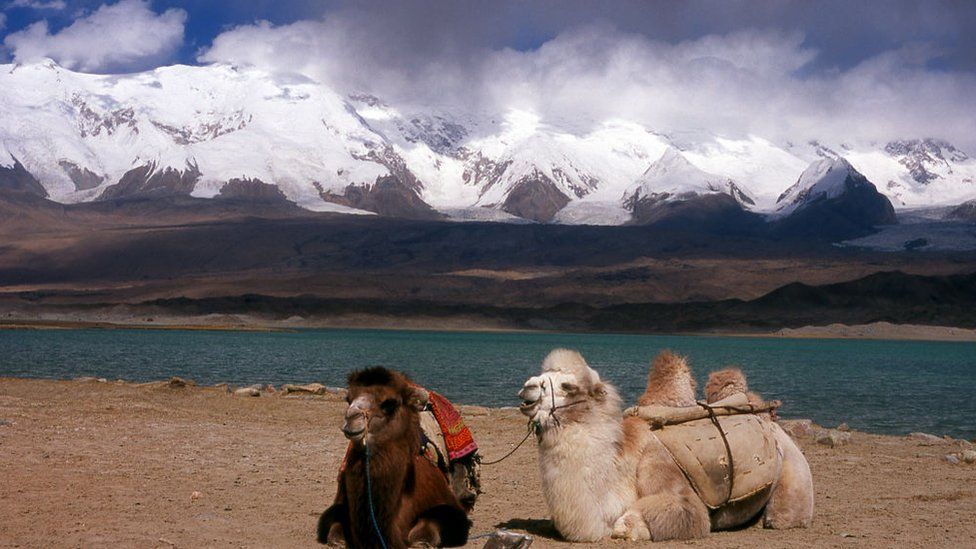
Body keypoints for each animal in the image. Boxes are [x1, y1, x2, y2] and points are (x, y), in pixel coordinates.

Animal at [318, 366, 470, 544]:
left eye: (390, 403)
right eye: (348, 399)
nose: (351, 418)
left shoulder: (449, 507)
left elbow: (435, 520)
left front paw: (422, 543)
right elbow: (333, 528)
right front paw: (338, 540)